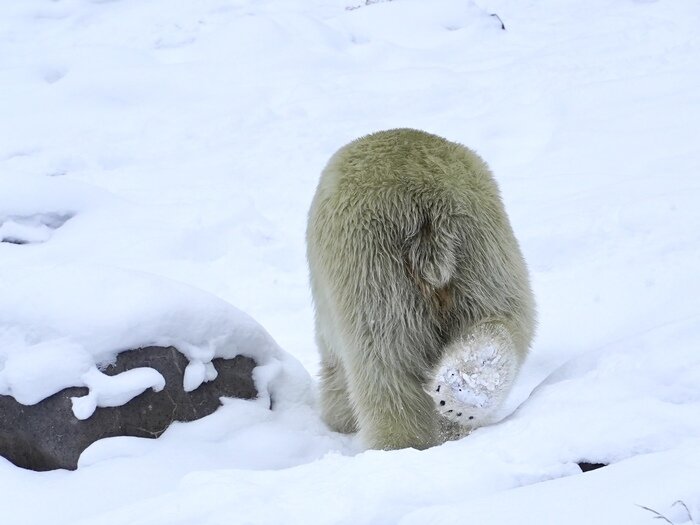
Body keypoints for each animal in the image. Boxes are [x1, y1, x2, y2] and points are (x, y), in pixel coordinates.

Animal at [306, 129, 536, 448]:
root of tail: (424, 201)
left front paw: (338, 420)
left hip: (371, 262)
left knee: (385, 361)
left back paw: (399, 443)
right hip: (482, 248)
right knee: (498, 317)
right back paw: (464, 392)